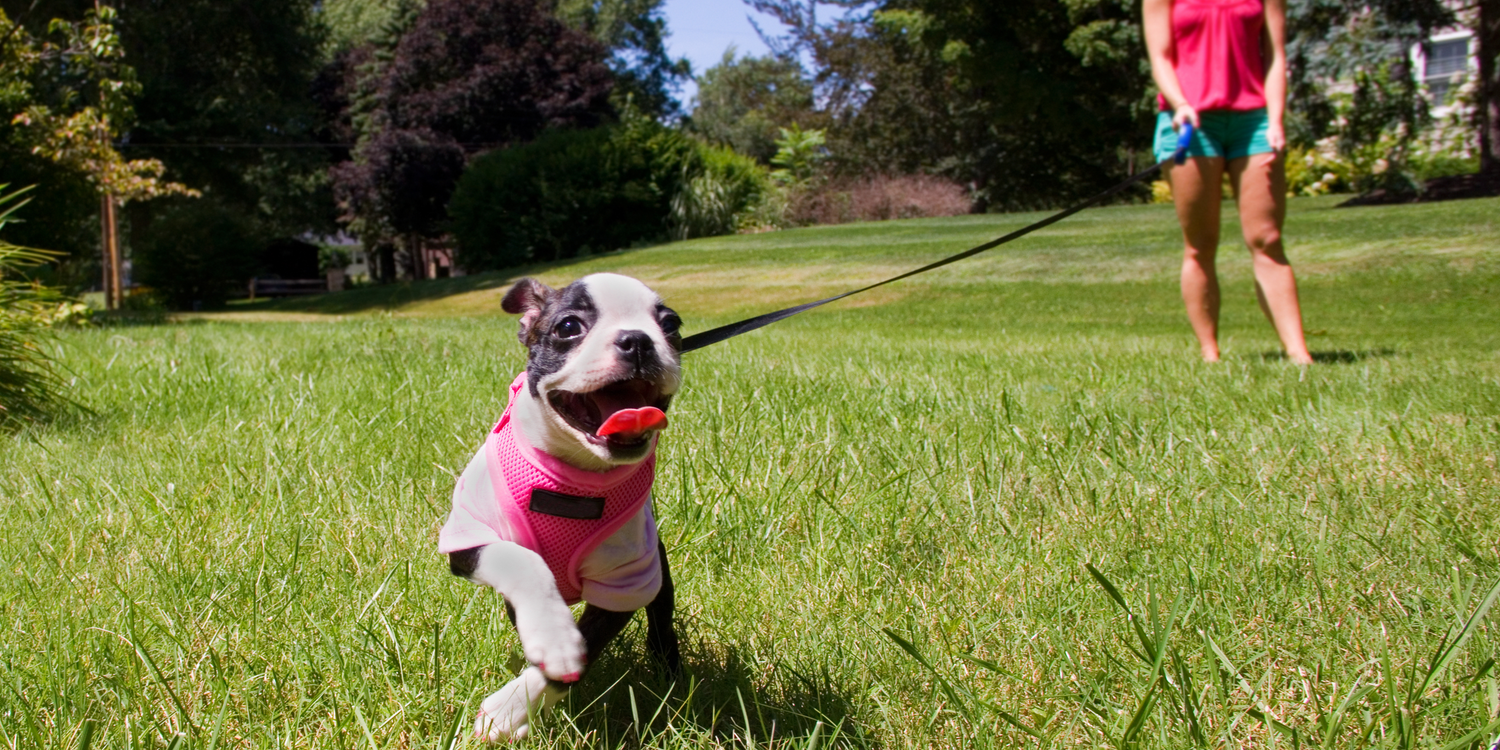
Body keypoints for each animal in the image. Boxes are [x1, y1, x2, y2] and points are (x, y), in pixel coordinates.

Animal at [438, 273, 687, 741]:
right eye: (569, 327)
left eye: (671, 325)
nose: (638, 340)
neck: (571, 476)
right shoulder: (469, 537)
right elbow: (522, 561)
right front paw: (552, 636)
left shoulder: (626, 581)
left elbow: (585, 648)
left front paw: (510, 710)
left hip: (657, 571)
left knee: (662, 621)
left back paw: (669, 673)